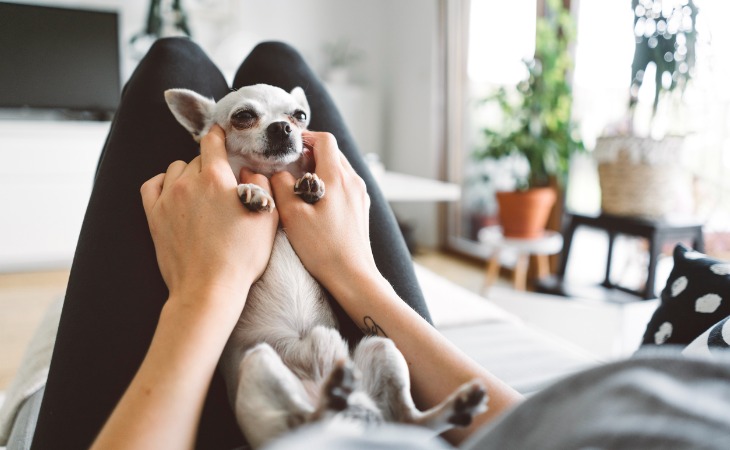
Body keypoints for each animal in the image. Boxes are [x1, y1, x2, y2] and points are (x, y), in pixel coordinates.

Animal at [162, 83, 486, 446]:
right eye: (243, 116)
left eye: (300, 116)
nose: (282, 127)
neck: (271, 174)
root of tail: (350, 421)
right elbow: (241, 182)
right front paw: (252, 190)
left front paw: (311, 185)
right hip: (261, 367)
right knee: (306, 420)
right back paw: (333, 400)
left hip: (381, 345)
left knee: (410, 419)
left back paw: (454, 407)